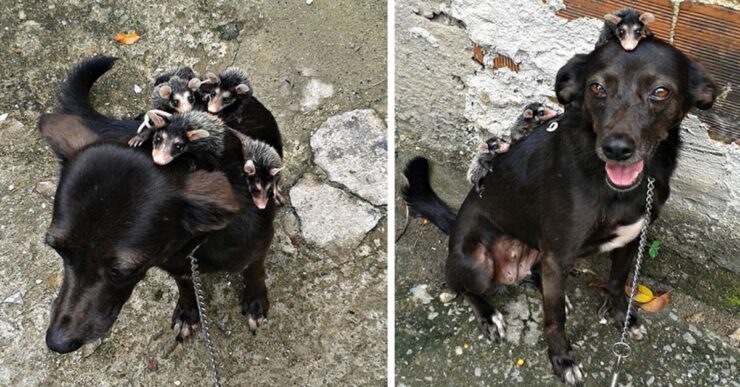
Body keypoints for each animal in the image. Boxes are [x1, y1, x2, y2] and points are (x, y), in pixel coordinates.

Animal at [39, 57, 280, 354]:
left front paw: (255, 300)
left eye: (122, 271)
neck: (194, 243)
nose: (57, 342)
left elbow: (254, 271)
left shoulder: (259, 245)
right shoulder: (174, 265)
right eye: (57, 249)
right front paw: (188, 311)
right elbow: (185, 285)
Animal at [404, 39, 716, 384]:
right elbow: (554, 320)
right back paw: (489, 315)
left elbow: (618, 283)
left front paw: (621, 318)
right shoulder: (558, 255)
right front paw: (562, 360)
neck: (620, 188)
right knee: (461, 286)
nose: (616, 149)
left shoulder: (631, 239)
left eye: (660, 92)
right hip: (476, 262)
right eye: (596, 88)